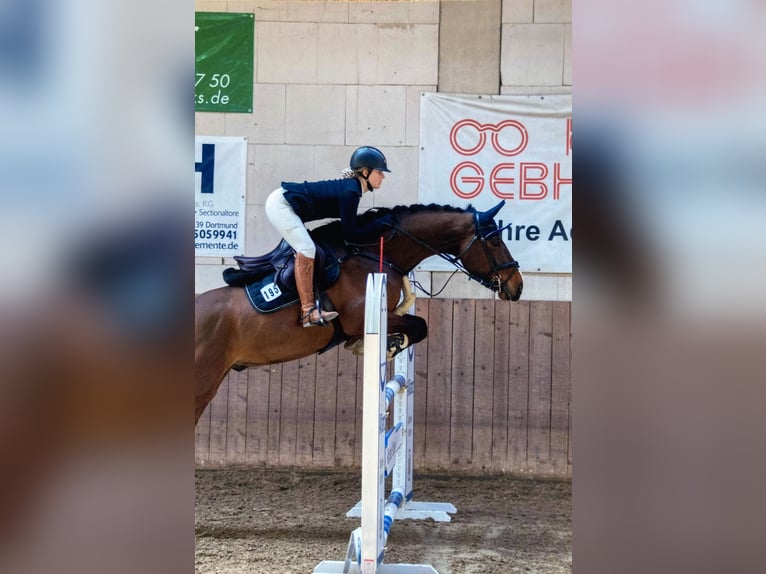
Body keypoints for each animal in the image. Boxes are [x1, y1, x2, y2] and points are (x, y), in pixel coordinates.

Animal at [195, 200, 523, 423]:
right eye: (496, 240)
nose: (517, 286)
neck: (374, 254)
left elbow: (417, 322)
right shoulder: (360, 319)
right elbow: (419, 326)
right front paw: (387, 346)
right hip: (203, 381)